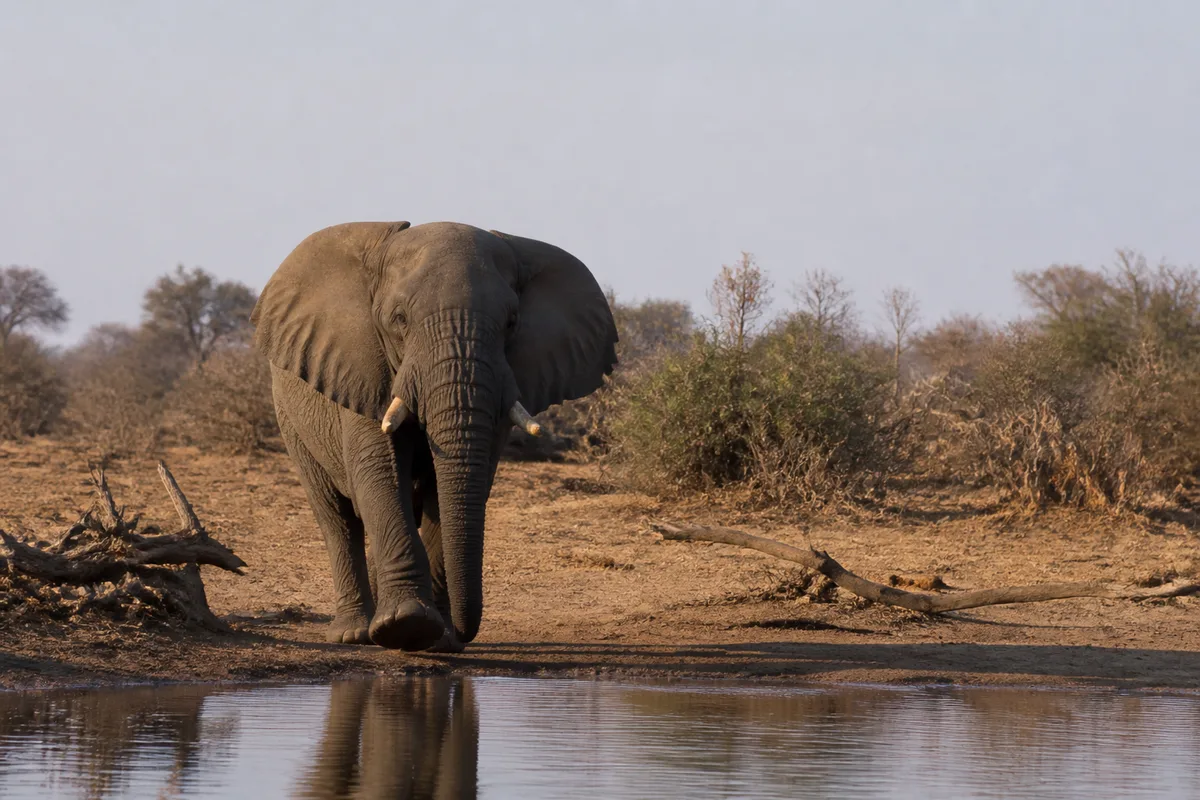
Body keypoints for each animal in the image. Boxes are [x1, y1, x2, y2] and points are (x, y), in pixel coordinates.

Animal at [251, 221, 617, 652]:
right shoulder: (363, 369)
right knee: (336, 517)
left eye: (512, 322)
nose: (461, 633)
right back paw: (354, 633)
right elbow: (379, 472)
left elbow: (451, 490)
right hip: (290, 420)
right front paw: (406, 625)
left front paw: (435, 637)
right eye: (399, 319)